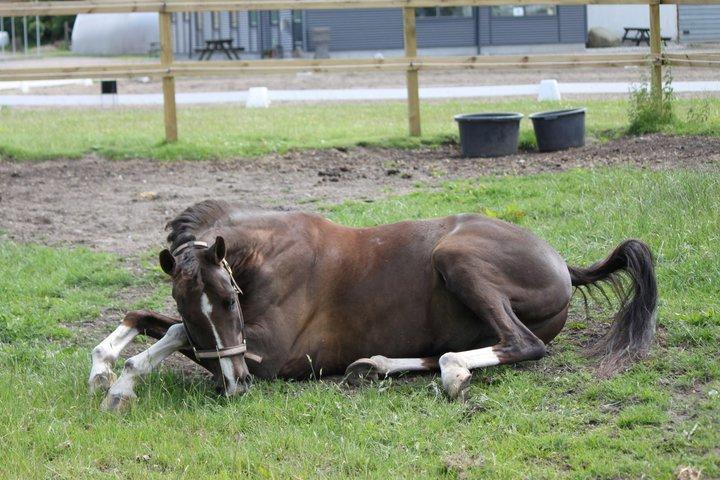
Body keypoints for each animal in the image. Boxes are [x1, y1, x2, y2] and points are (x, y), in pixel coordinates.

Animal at [90, 201, 660, 410]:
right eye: (191, 307)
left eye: (230, 300)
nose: (235, 387)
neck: (268, 256)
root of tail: (564, 265)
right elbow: (157, 322)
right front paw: (104, 366)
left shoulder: (270, 356)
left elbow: (170, 335)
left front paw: (121, 381)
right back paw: (376, 365)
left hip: (457, 257)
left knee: (523, 344)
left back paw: (451, 373)